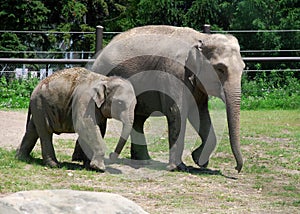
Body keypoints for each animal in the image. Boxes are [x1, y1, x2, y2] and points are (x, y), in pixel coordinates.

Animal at [74, 25, 245, 172]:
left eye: (243, 67)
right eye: (220, 69)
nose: (237, 168)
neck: (201, 38)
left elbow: (200, 114)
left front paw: (199, 160)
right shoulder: (174, 73)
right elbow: (177, 112)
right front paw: (178, 167)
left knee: (138, 119)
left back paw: (143, 161)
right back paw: (81, 159)